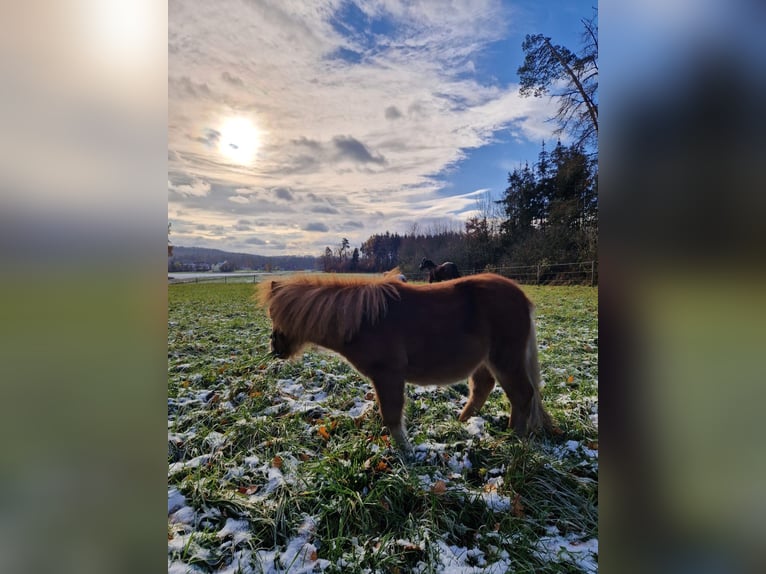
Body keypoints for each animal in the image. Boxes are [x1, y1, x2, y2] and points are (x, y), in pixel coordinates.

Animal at [258, 270, 552, 454]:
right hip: (487, 361)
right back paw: (462, 423)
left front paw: (405, 451)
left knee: (522, 395)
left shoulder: (388, 376)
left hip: (506, 359)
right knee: (483, 389)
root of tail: (521, 297)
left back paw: (513, 439)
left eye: (274, 314)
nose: (274, 349)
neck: (364, 321)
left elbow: (391, 415)